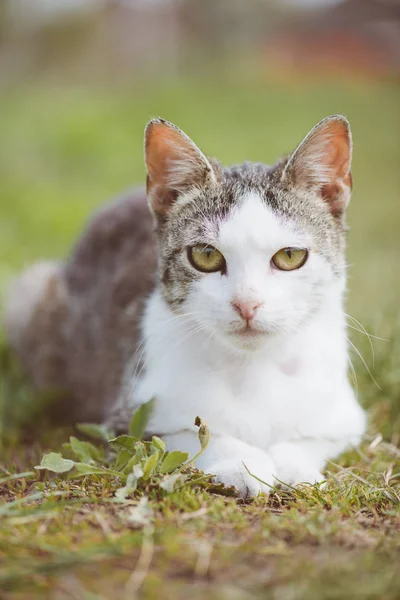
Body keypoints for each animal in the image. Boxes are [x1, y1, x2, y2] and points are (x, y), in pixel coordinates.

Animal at [3, 113, 366, 496]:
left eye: (290, 256)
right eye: (205, 255)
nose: (247, 304)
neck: (251, 367)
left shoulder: (345, 416)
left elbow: (309, 439)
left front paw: (295, 467)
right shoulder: (132, 416)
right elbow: (194, 434)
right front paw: (244, 464)